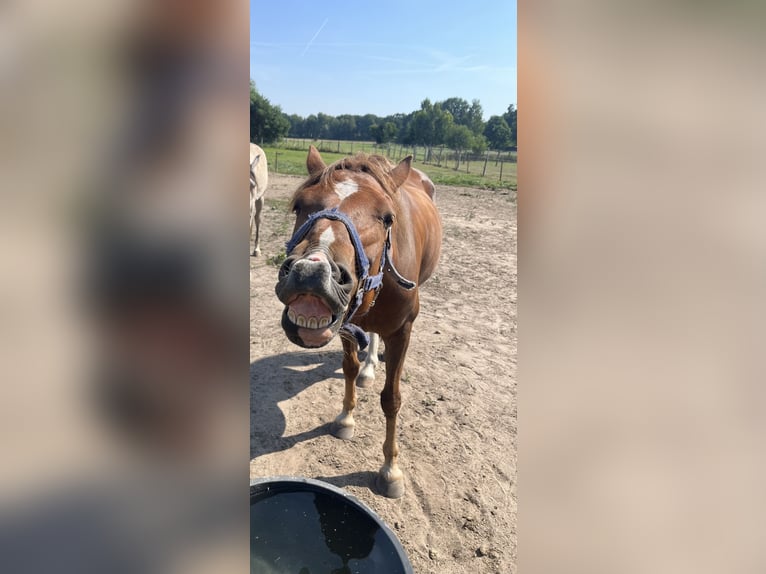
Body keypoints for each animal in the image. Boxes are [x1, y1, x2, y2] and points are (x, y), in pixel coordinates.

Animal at [275, 146, 442, 498]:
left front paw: (390, 470)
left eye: (387, 217)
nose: (313, 273)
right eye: (299, 205)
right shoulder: (344, 325)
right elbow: (349, 368)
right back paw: (369, 367)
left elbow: (391, 399)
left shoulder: (402, 331)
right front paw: (346, 418)